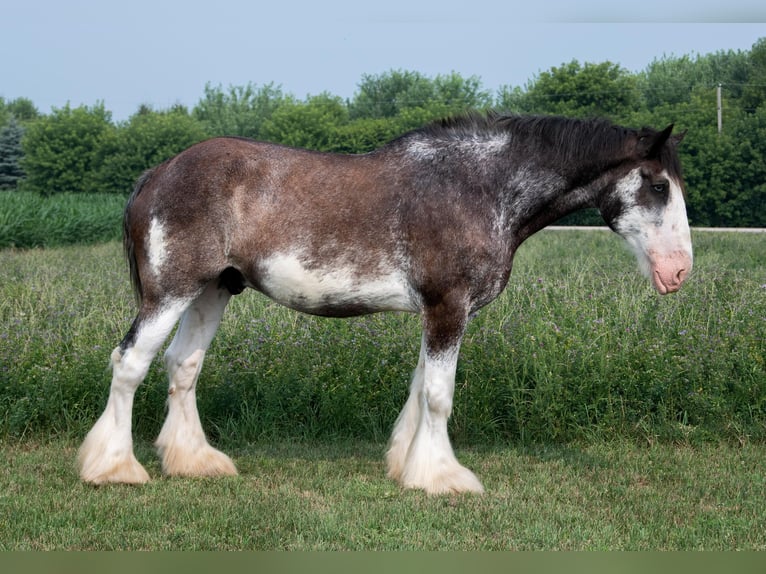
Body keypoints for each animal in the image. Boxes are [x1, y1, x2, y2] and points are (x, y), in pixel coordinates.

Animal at [79, 111, 696, 496]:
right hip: (170, 293)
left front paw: (409, 465)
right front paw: (444, 478)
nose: (679, 271)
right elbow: (441, 396)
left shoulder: (440, 312)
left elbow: (421, 389)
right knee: (130, 363)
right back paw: (113, 469)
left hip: (211, 291)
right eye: (658, 185)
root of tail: (160, 172)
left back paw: (195, 463)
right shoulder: (448, 307)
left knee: (182, 367)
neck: (479, 187)